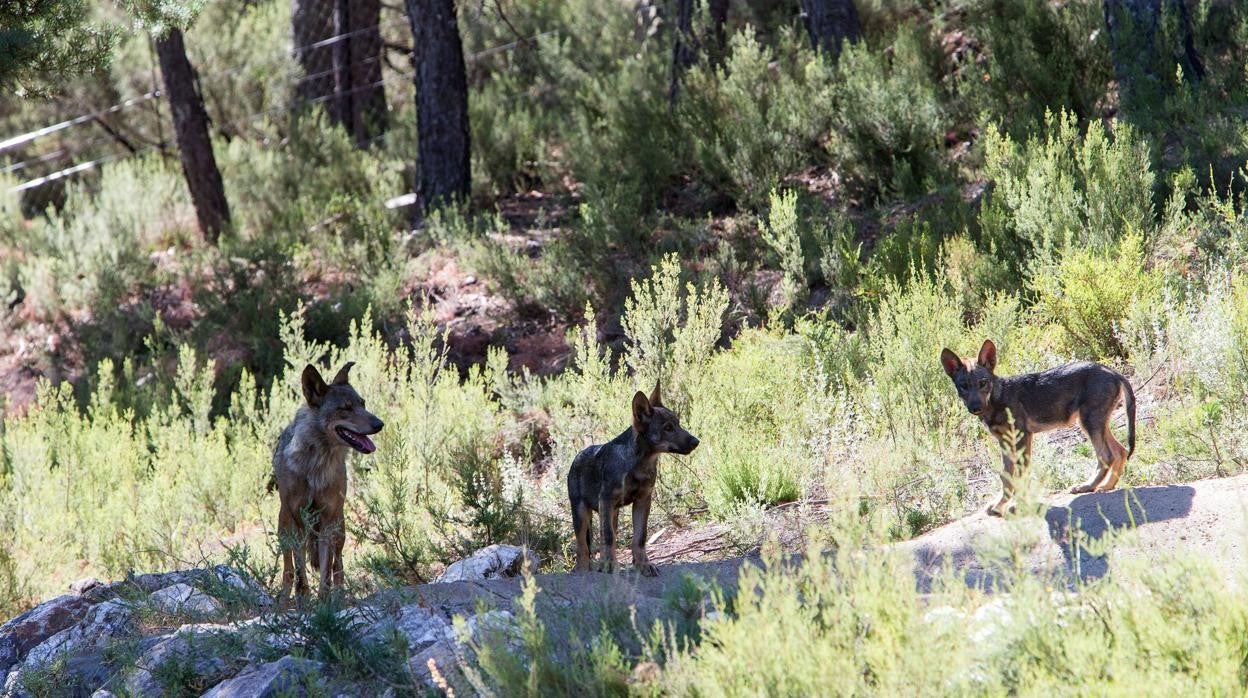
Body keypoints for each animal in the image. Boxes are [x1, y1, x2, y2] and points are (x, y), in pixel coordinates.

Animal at [273, 359, 384, 601]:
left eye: (362, 404)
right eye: (346, 408)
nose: (380, 424)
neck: (316, 465)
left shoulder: (326, 523)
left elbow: (326, 571)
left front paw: (325, 602)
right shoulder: (298, 521)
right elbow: (299, 571)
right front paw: (303, 599)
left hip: (339, 527)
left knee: (338, 565)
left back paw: (340, 595)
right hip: (284, 526)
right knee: (288, 568)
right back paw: (284, 598)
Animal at [569, 384, 698, 576]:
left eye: (678, 423)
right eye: (667, 428)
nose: (696, 441)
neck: (639, 464)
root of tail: (577, 457)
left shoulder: (643, 501)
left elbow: (639, 537)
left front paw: (643, 565)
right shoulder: (606, 500)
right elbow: (608, 537)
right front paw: (611, 565)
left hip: (612, 514)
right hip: (582, 514)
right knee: (583, 548)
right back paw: (584, 570)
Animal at [938, 342, 1138, 516]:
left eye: (982, 383)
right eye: (963, 386)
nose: (975, 408)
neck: (997, 400)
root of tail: (1112, 371)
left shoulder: (1022, 438)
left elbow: (1020, 476)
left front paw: (1017, 505)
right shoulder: (1005, 442)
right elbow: (1007, 477)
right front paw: (1000, 505)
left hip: (1090, 423)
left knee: (1106, 456)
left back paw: (1087, 486)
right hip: (1096, 424)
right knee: (1120, 451)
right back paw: (1107, 486)